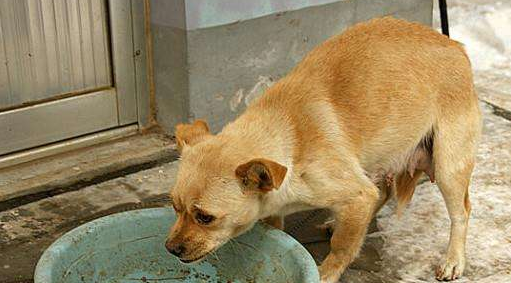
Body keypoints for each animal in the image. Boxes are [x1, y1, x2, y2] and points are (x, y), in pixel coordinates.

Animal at [166, 16, 482, 282]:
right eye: (175, 207)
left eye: (205, 218)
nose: (170, 248)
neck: (290, 141)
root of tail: (455, 45)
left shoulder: (357, 194)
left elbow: (342, 246)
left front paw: (327, 272)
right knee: (382, 192)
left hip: (448, 167)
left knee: (461, 212)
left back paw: (454, 261)